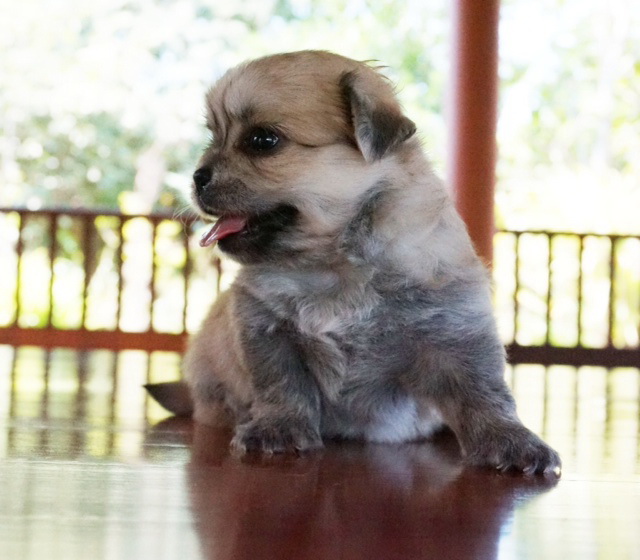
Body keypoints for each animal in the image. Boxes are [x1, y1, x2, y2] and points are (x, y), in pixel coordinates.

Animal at [148, 50, 561, 475]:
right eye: (214, 136)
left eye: (262, 141)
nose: (197, 177)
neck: (335, 263)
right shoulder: (266, 328)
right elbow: (282, 385)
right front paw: (278, 428)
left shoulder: (454, 327)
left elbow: (483, 391)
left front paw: (510, 440)